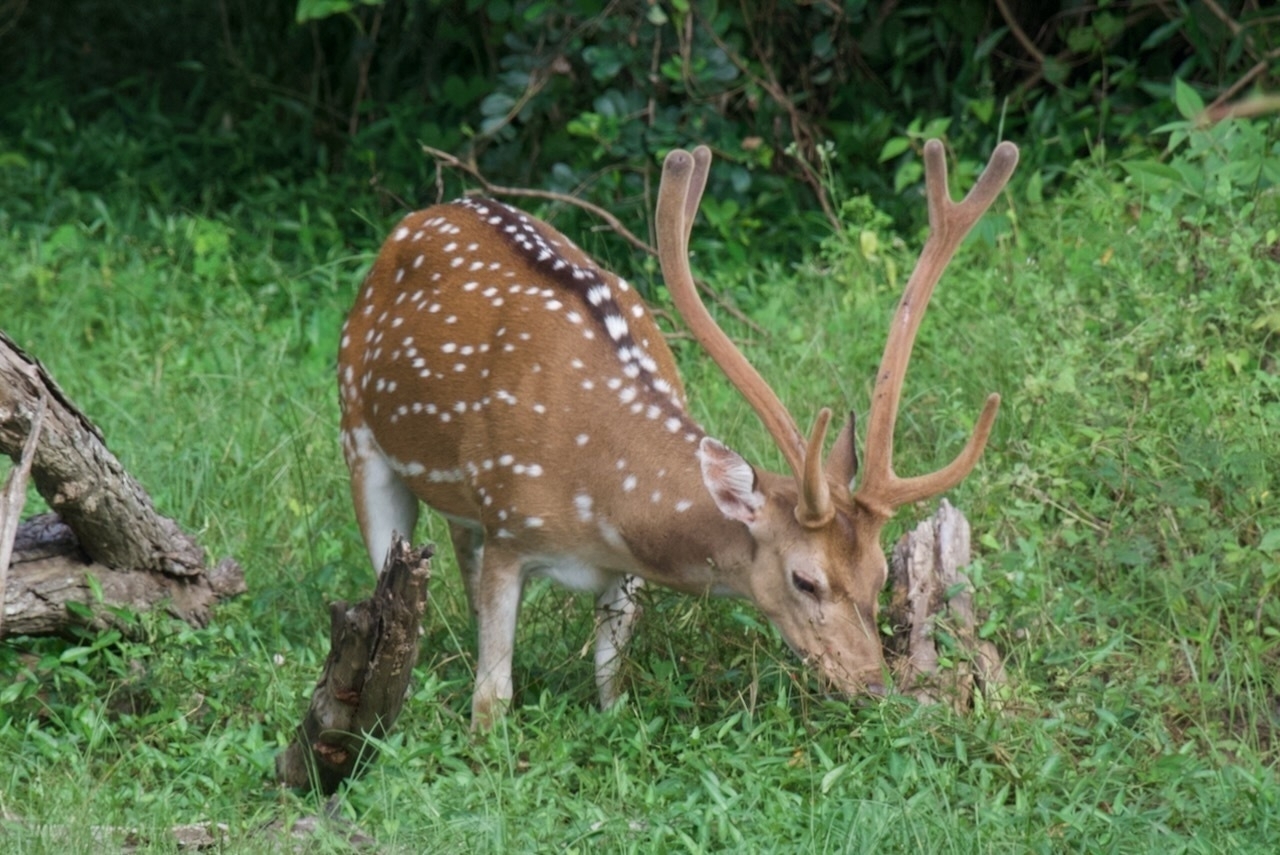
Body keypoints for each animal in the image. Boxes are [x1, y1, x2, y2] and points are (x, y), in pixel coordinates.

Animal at [337, 140, 1018, 727]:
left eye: (882, 575)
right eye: (805, 579)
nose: (872, 684)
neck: (601, 496)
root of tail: (421, 215)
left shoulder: (622, 573)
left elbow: (611, 685)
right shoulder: (509, 524)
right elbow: (492, 700)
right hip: (355, 426)